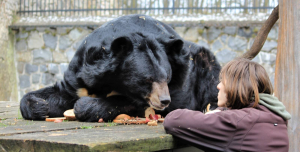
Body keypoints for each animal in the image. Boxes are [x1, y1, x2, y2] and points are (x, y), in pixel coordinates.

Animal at [19, 13, 220, 121]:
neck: (111, 80)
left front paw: (84, 106)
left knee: (214, 87)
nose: (164, 100)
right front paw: (39, 105)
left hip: (205, 63)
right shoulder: (79, 75)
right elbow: (61, 92)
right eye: (147, 79)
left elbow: (127, 103)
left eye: (167, 78)